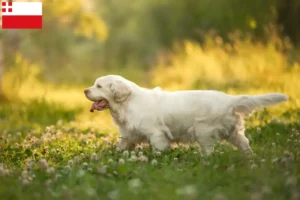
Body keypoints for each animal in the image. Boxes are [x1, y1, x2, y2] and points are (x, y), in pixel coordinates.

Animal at [84, 74, 288, 155]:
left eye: (99, 86)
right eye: (94, 84)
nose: (85, 90)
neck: (127, 103)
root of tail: (229, 100)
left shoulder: (156, 135)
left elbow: (159, 150)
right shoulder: (128, 135)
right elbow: (121, 147)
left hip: (204, 132)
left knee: (209, 151)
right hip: (232, 132)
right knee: (244, 144)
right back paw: (250, 158)